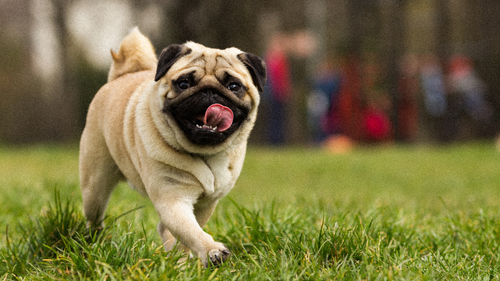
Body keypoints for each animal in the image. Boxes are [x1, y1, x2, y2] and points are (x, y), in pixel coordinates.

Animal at [79, 27, 266, 266]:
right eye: (183, 84)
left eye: (234, 86)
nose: (209, 92)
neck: (203, 153)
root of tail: (122, 75)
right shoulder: (173, 199)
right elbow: (191, 231)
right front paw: (212, 251)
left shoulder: (205, 204)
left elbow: (187, 232)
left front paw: (184, 257)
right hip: (94, 186)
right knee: (94, 215)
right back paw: (94, 241)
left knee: (164, 228)